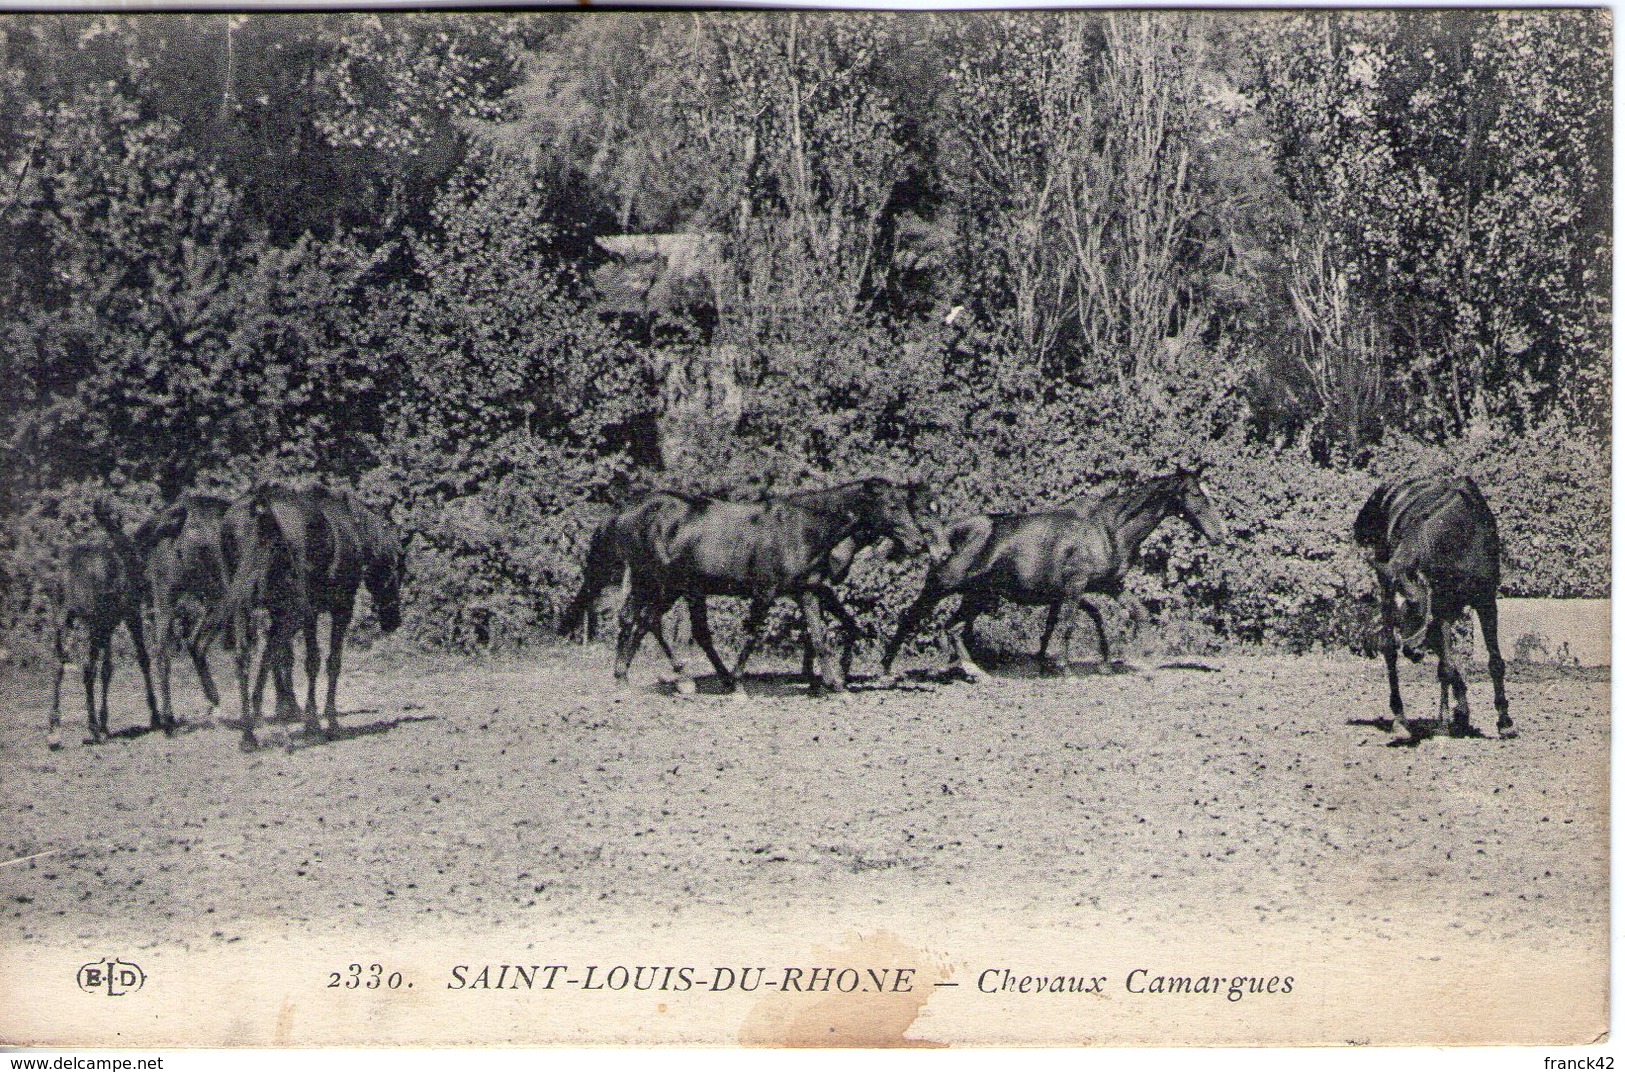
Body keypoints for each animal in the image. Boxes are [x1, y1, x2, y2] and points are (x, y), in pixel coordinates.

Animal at [47, 500, 161, 743]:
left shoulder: (108, 622)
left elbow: (107, 669)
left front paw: (105, 723)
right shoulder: (129, 613)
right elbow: (143, 658)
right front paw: (155, 716)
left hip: (62, 618)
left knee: (58, 663)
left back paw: (54, 729)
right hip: (92, 622)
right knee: (87, 667)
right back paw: (91, 727)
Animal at [208, 480, 404, 750]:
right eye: (395, 568)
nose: (394, 619)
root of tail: (259, 506)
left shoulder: (296, 612)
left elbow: (286, 656)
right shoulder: (338, 608)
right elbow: (328, 662)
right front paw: (324, 722)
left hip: (250, 606)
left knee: (245, 657)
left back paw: (251, 732)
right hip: (292, 608)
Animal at [611, 477, 949, 695]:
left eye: (906, 505)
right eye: (893, 506)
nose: (921, 544)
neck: (800, 529)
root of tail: (629, 513)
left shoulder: (808, 590)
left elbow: (820, 635)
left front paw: (834, 683)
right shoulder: (766, 591)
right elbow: (751, 635)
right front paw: (740, 684)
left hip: (669, 586)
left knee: (644, 621)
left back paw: (628, 676)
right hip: (659, 583)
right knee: (646, 620)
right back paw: (679, 678)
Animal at [884, 471, 1222, 685]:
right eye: (1195, 494)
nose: (1220, 534)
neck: (1107, 529)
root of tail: (948, 532)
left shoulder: (1108, 585)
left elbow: (1135, 613)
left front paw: (1144, 660)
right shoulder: (1075, 586)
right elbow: (1069, 624)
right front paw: (1063, 667)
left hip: (979, 595)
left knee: (952, 628)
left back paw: (974, 671)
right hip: (944, 586)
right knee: (912, 618)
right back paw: (888, 669)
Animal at [1345, 474, 1508, 740]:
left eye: (1413, 604)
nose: (1411, 651)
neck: (1461, 536)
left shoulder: (1484, 601)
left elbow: (1492, 661)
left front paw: (1504, 721)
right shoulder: (1438, 609)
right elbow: (1447, 667)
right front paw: (1445, 721)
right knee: (1394, 653)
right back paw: (1402, 718)